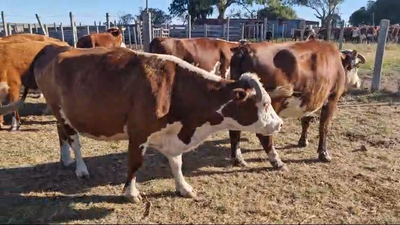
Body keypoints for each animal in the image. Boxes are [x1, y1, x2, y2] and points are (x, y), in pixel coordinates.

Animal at [21, 44, 282, 201]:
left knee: (61, 133)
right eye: (264, 104)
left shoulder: (172, 136)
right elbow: (135, 164)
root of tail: (55, 47)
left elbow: (177, 164)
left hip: (61, 114)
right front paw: (130, 193)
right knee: (73, 139)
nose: (278, 124)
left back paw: (65, 159)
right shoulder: (138, 133)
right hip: (60, 110)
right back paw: (80, 168)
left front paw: (184, 188)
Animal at [228, 40, 366, 170]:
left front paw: (303, 141)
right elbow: (324, 127)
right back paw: (276, 162)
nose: (358, 83)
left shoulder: (311, 100)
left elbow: (306, 121)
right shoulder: (332, 99)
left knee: (234, 131)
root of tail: (244, 49)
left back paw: (238, 159)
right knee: (264, 135)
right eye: (356, 66)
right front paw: (324, 153)